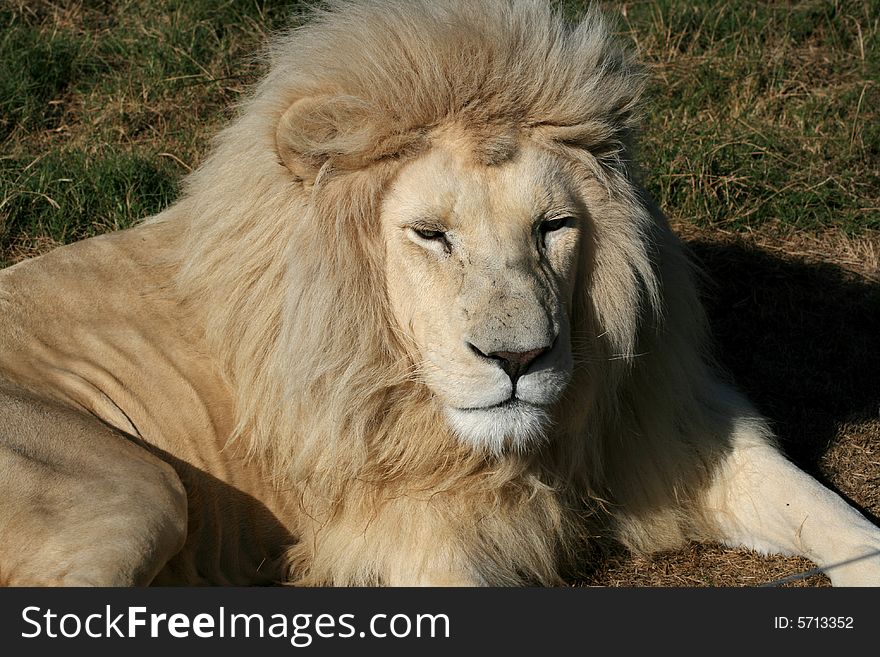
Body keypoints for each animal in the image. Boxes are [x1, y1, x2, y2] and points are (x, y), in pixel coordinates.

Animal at [1, 0, 880, 584]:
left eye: (554, 226)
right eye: (430, 234)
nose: (519, 359)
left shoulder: (667, 429)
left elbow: (833, 517)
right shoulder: (418, 541)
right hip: (130, 490)